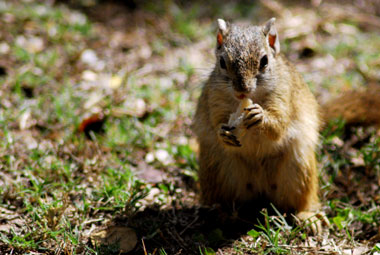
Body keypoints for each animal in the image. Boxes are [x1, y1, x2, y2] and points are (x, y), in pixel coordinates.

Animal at [194, 17, 328, 233]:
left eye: (264, 61)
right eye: (222, 62)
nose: (242, 90)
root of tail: (260, 191)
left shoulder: (283, 96)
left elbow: (279, 126)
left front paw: (261, 117)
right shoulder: (215, 100)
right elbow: (216, 123)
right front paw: (223, 134)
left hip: (299, 169)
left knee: (299, 202)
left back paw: (307, 217)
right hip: (217, 170)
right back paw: (219, 215)